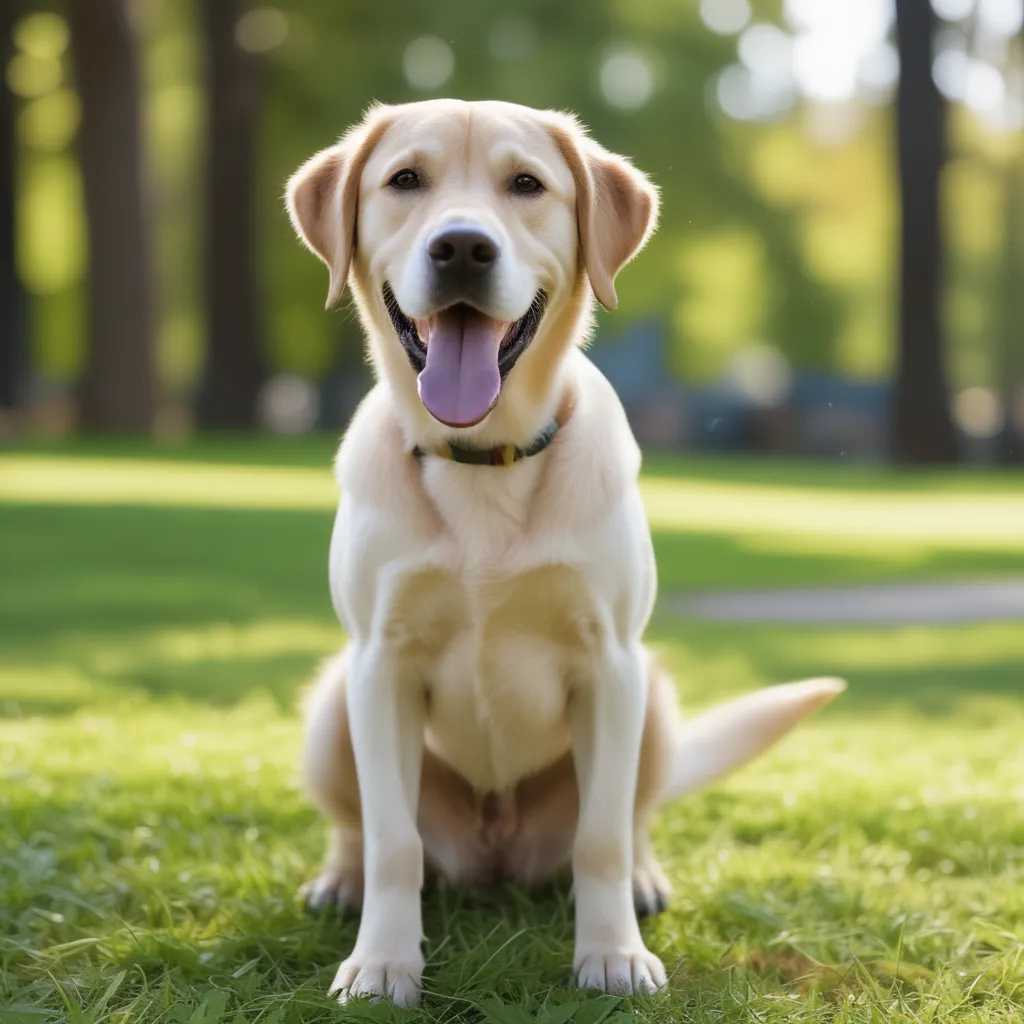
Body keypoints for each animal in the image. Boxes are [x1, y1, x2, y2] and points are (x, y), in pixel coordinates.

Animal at [284, 99, 843, 1003]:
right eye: (405, 179)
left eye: (526, 184)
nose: (463, 247)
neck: (485, 461)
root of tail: (495, 854)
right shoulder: (382, 661)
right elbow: (395, 840)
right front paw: (383, 963)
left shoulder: (609, 664)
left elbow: (603, 836)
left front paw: (612, 955)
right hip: (336, 698)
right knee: (361, 827)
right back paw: (343, 878)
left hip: (653, 697)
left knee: (633, 817)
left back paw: (643, 882)